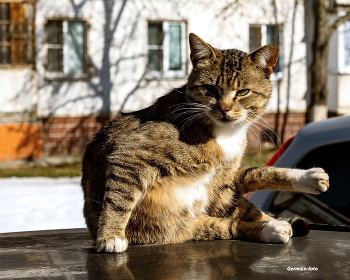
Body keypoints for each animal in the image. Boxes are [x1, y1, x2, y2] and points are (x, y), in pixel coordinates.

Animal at [80, 33, 330, 254]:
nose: (225, 108)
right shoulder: (131, 152)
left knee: (245, 200)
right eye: (210, 89)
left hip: (220, 192)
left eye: (243, 91)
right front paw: (111, 236)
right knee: (229, 226)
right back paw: (273, 228)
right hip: (179, 222)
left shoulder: (225, 176)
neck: (225, 133)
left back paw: (298, 194)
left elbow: (257, 173)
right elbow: (117, 199)